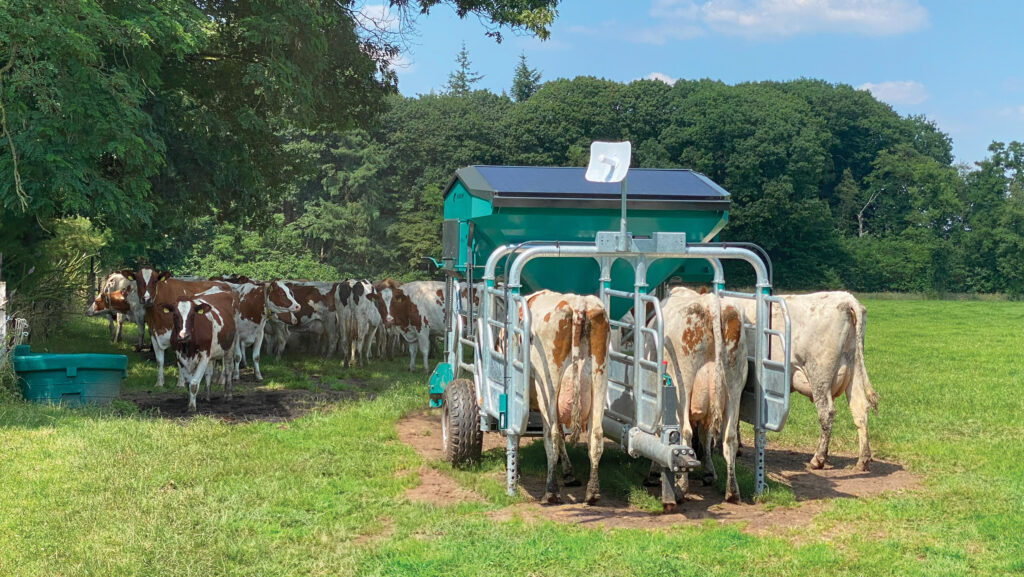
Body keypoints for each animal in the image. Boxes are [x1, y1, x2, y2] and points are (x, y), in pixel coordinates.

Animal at [520, 289, 606, 506]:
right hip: (599, 377)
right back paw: (592, 493)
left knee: (552, 435)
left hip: (549, 383)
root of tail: (579, 305)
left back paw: (551, 492)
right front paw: (569, 473)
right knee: (596, 435)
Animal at [720, 291, 880, 471]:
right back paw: (862, 460)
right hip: (854, 369)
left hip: (819, 373)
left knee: (826, 413)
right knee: (860, 409)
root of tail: (846, 298)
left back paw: (818, 459)